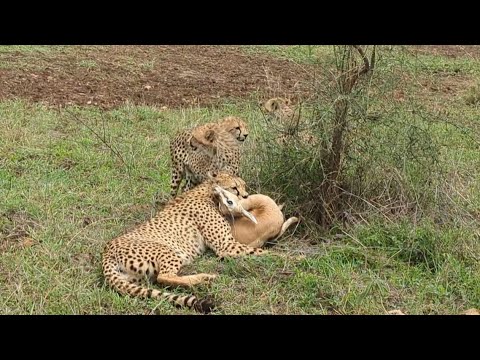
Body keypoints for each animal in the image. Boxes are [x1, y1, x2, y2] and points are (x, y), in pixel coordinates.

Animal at [100, 172, 262, 312]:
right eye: (234, 188)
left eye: (243, 185)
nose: (246, 196)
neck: (208, 191)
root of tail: (107, 250)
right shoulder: (226, 245)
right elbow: (262, 252)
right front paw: (268, 260)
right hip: (166, 250)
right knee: (164, 277)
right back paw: (203, 278)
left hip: (134, 278)